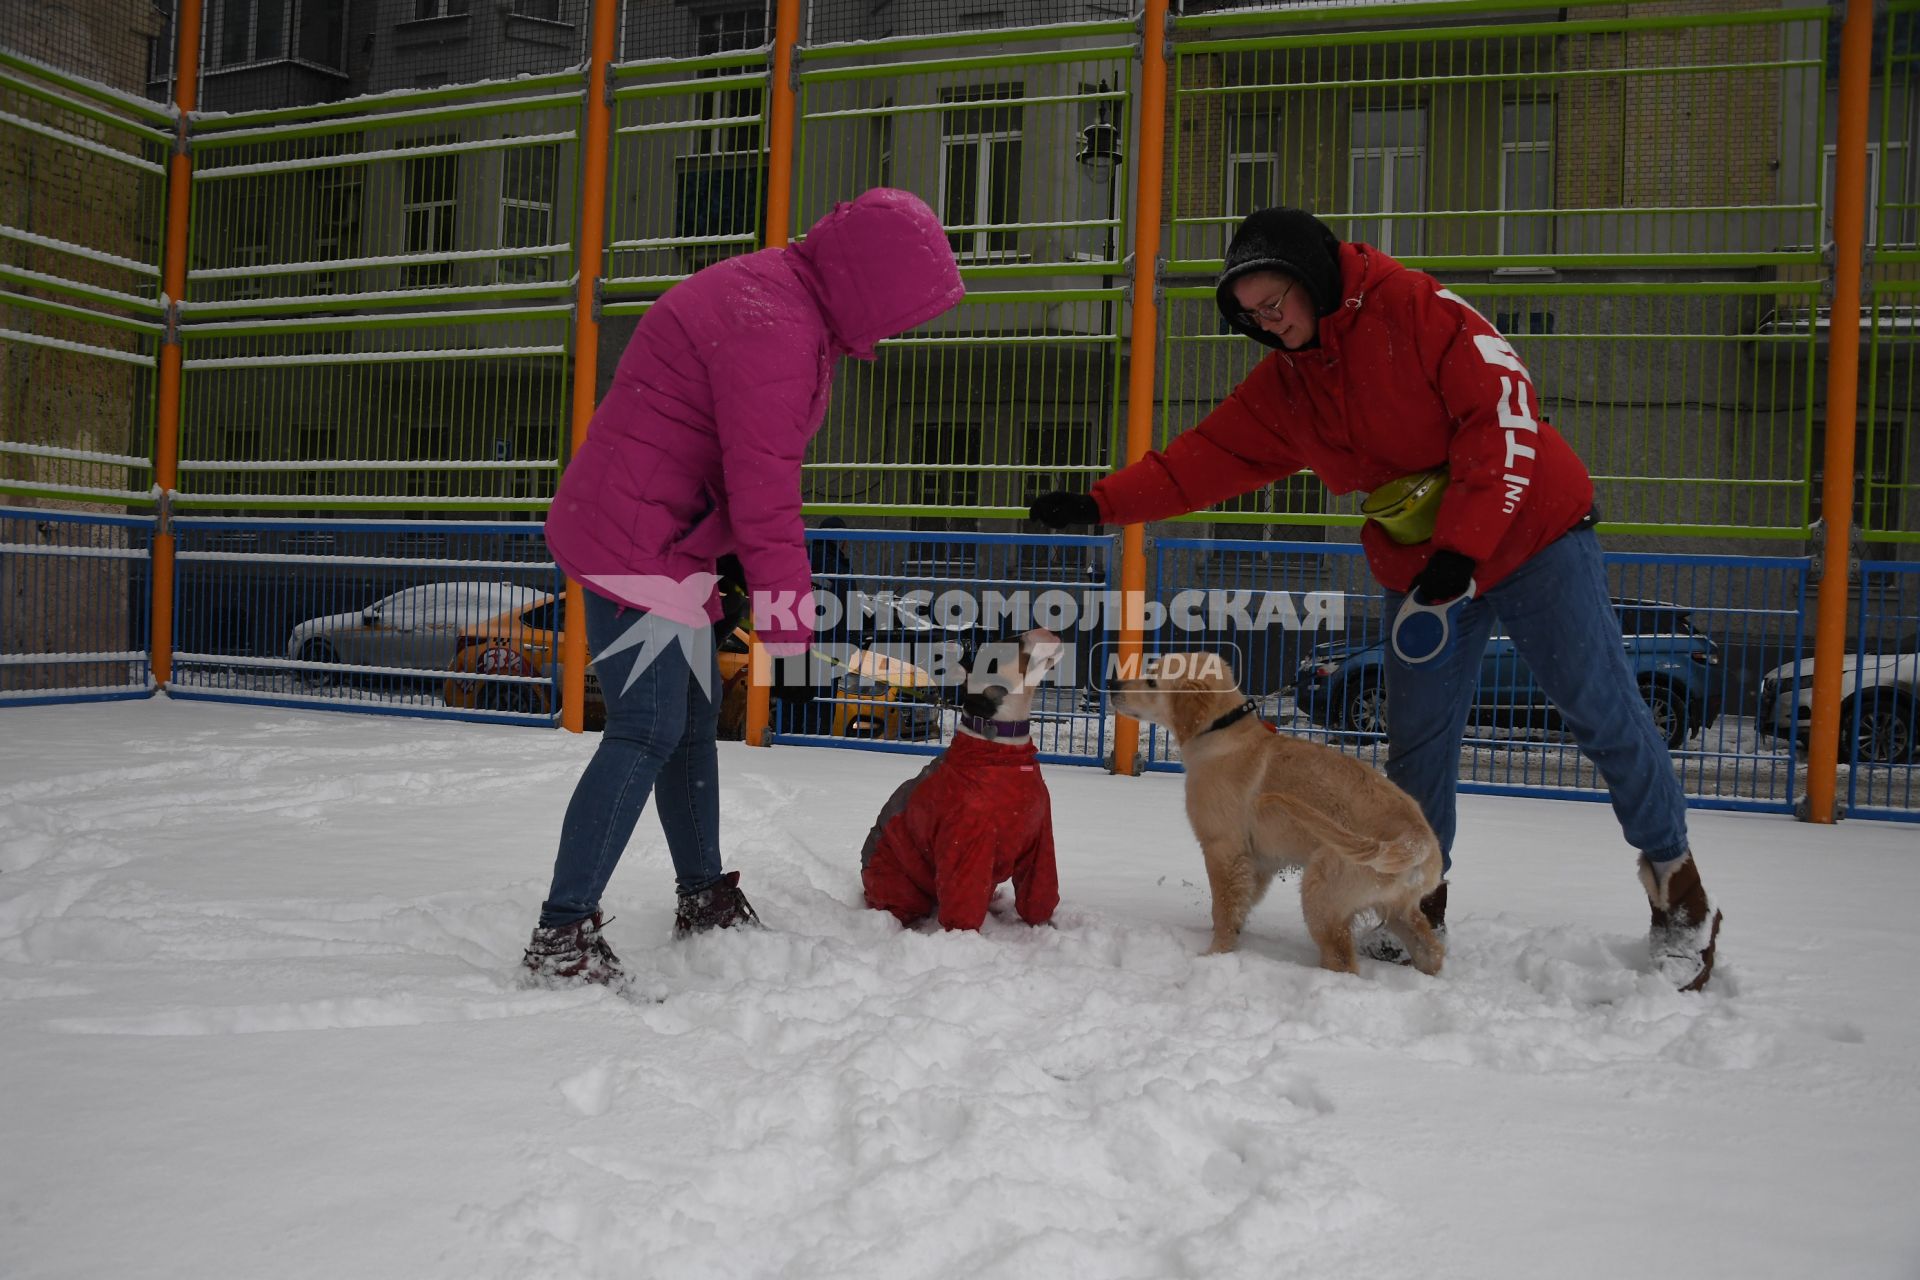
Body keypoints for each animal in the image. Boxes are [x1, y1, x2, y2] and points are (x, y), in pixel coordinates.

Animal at [860, 629, 1067, 932]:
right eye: (1001, 651)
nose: (1043, 630)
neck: (1002, 748)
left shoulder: (1040, 839)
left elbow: (1039, 892)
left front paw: (1043, 927)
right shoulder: (966, 842)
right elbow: (963, 900)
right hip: (896, 883)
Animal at [1113, 656, 1443, 974]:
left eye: (1152, 681)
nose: (1113, 685)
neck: (1223, 731)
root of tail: (1417, 837)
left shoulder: (1223, 848)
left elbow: (1223, 907)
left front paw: (1214, 953)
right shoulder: (1259, 860)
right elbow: (1240, 905)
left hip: (1323, 892)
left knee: (1342, 961)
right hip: (1399, 906)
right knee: (1432, 952)